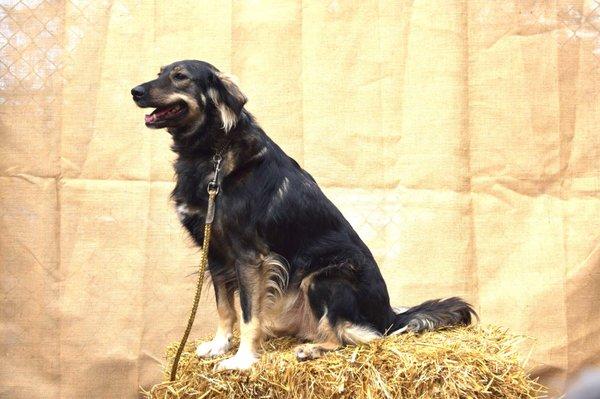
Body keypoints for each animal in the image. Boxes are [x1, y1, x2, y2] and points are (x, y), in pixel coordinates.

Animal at [132, 59, 478, 372]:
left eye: (180, 77)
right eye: (160, 72)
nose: (134, 91)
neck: (212, 150)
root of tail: (390, 315)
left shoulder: (250, 257)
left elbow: (248, 314)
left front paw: (242, 360)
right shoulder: (215, 253)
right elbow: (225, 309)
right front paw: (219, 346)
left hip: (324, 278)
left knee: (359, 336)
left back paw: (312, 350)